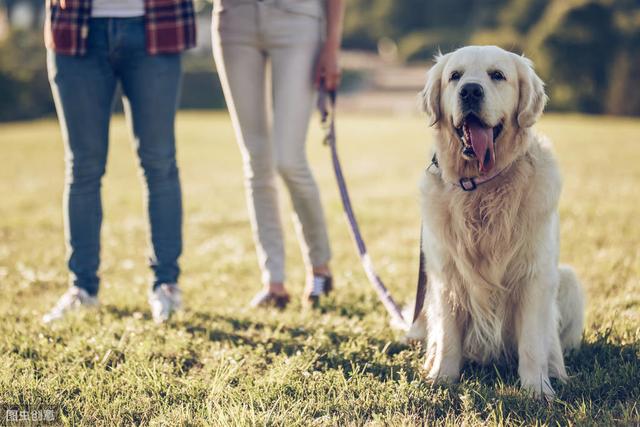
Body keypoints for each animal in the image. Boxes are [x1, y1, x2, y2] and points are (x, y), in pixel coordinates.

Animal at [410, 45, 584, 400]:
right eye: (455, 76)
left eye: (497, 75)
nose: (470, 91)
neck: (480, 187)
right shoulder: (446, 276)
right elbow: (448, 338)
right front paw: (442, 378)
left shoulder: (534, 276)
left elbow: (532, 343)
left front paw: (537, 389)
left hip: (568, 279)